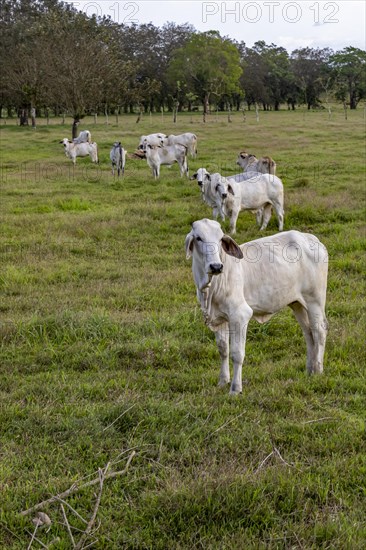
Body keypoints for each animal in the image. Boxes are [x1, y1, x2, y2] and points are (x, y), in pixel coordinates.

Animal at [186, 220, 328, 396]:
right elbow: (223, 349)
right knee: (308, 333)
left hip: (315, 301)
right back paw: (310, 370)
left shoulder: (240, 316)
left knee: (319, 332)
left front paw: (235, 388)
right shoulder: (219, 319)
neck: (210, 289)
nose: (216, 266)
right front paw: (223, 381)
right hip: (297, 303)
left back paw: (318, 370)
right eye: (199, 238)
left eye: (220, 238)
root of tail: (311, 238)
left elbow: (237, 354)